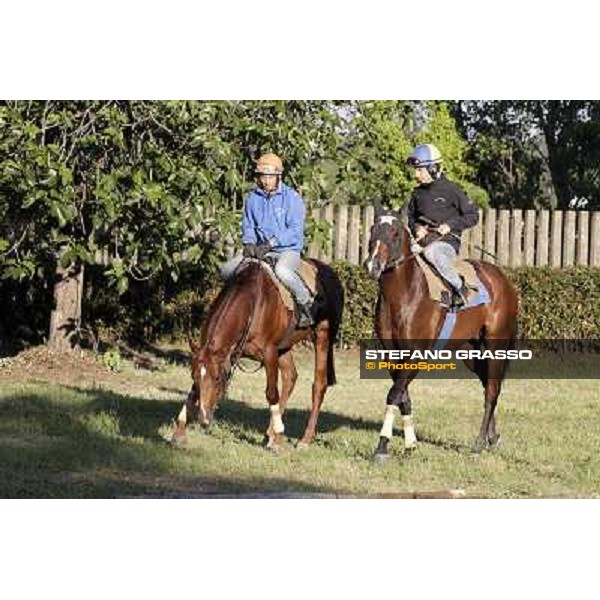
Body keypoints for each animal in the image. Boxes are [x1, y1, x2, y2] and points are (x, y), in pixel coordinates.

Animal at [171, 256, 344, 450]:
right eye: (193, 376)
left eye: (216, 378)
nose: (204, 419)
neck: (253, 303)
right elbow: (192, 391)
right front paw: (179, 432)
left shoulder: (269, 354)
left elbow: (271, 393)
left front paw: (278, 438)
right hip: (283, 347)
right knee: (290, 376)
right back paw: (271, 433)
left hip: (322, 336)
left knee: (318, 385)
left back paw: (304, 439)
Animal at [364, 206, 516, 460]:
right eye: (372, 230)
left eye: (395, 233)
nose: (373, 265)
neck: (405, 295)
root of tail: (503, 279)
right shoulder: (391, 354)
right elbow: (403, 396)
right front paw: (410, 445)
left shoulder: (415, 354)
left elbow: (394, 394)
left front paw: (382, 446)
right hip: (472, 352)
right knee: (489, 386)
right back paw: (492, 438)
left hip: (496, 345)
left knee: (492, 390)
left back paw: (479, 442)